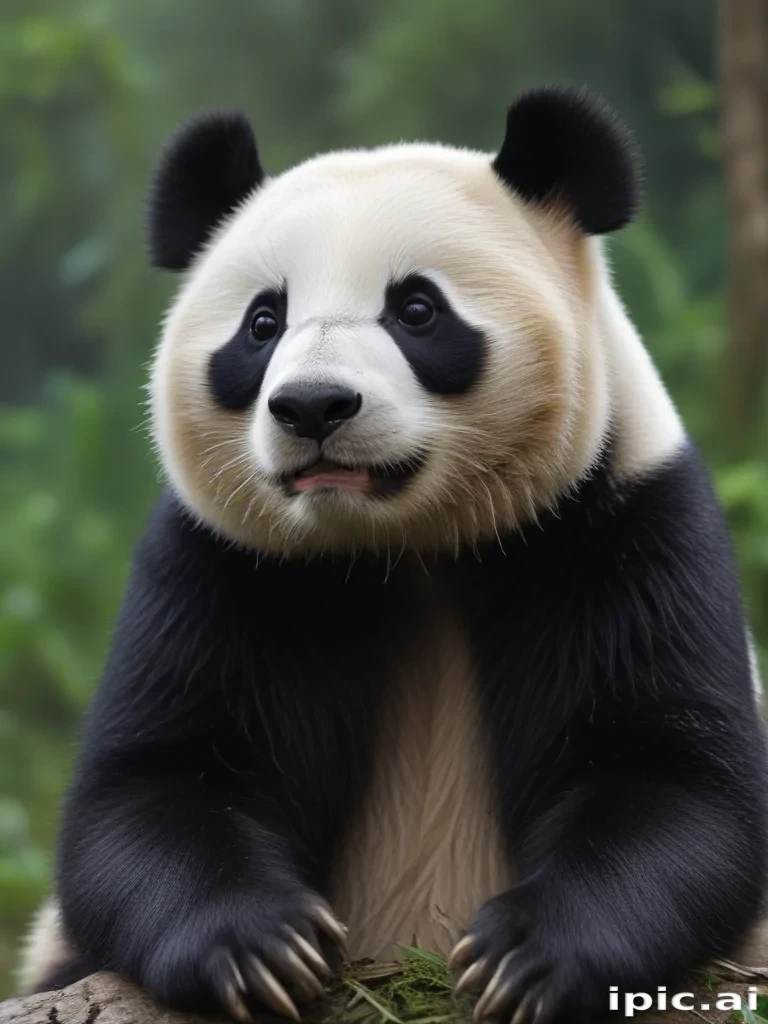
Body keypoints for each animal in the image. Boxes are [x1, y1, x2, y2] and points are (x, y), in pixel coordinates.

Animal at [19, 86, 767, 1024]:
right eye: (263, 322)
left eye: (416, 309)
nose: (312, 405)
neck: (405, 547)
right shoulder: (223, 562)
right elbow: (151, 786)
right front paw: (260, 948)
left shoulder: (625, 527)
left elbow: (676, 781)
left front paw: (527, 957)